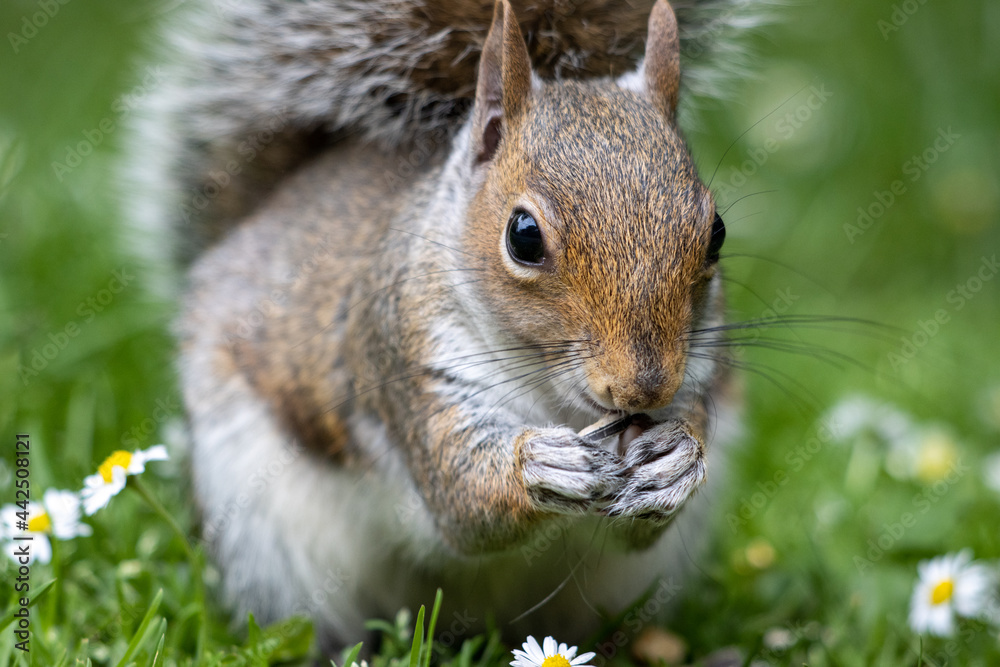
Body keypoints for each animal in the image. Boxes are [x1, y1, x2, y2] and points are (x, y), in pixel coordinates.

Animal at [140, 0, 767, 651]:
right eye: (523, 236)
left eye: (717, 232)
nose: (644, 388)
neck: (556, 397)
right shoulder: (405, 360)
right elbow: (464, 503)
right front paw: (539, 464)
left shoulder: (697, 376)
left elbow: (644, 522)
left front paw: (678, 459)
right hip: (266, 535)